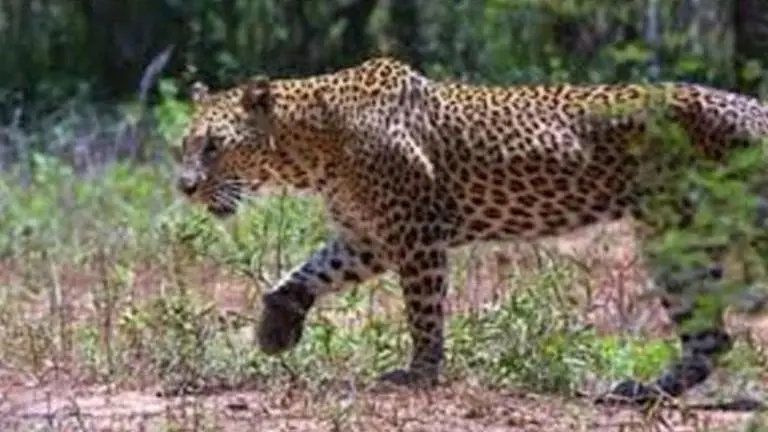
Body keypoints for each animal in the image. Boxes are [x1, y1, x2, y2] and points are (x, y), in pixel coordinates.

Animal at [175, 56, 768, 404]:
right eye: (183, 145)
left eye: (215, 146)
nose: (184, 187)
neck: (313, 143)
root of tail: (754, 108)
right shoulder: (368, 237)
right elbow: (309, 271)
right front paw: (276, 327)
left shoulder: (415, 233)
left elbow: (423, 312)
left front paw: (420, 373)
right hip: (674, 240)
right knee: (711, 338)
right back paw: (640, 392)